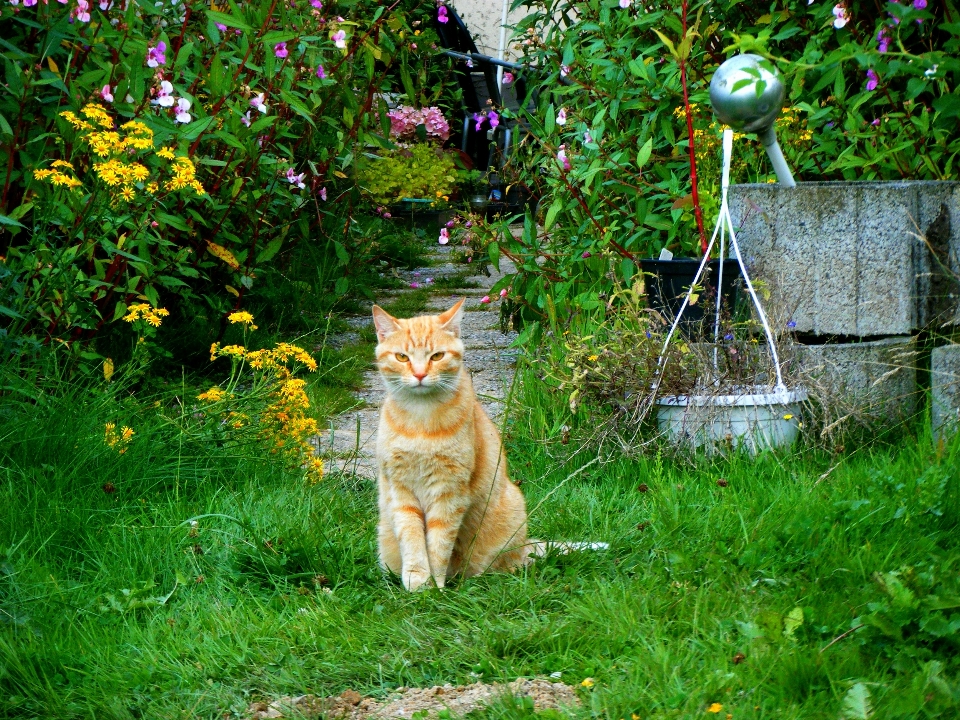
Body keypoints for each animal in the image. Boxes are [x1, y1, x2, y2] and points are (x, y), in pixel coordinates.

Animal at [372, 298, 528, 592]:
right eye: (402, 357)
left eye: (437, 356)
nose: (420, 374)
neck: (420, 419)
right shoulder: (400, 491)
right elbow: (412, 539)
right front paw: (417, 580)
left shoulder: (449, 491)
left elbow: (439, 543)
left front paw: (434, 586)